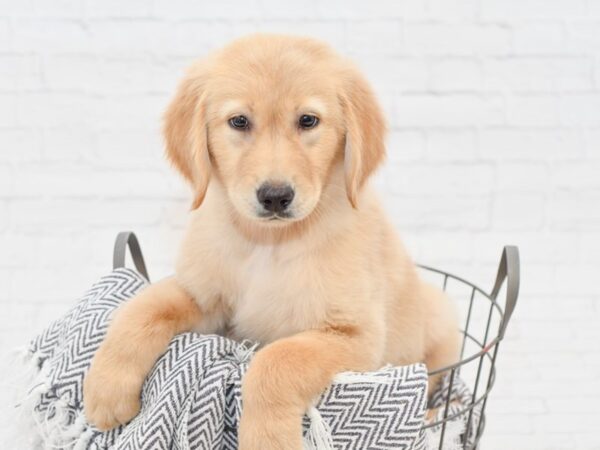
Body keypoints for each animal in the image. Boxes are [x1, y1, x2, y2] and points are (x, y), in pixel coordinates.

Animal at [83, 33, 460, 448]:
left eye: (308, 120)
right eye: (239, 121)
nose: (276, 196)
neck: (268, 243)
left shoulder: (356, 336)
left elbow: (277, 359)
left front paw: (268, 438)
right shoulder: (205, 297)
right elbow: (144, 307)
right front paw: (106, 386)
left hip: (439, 320)